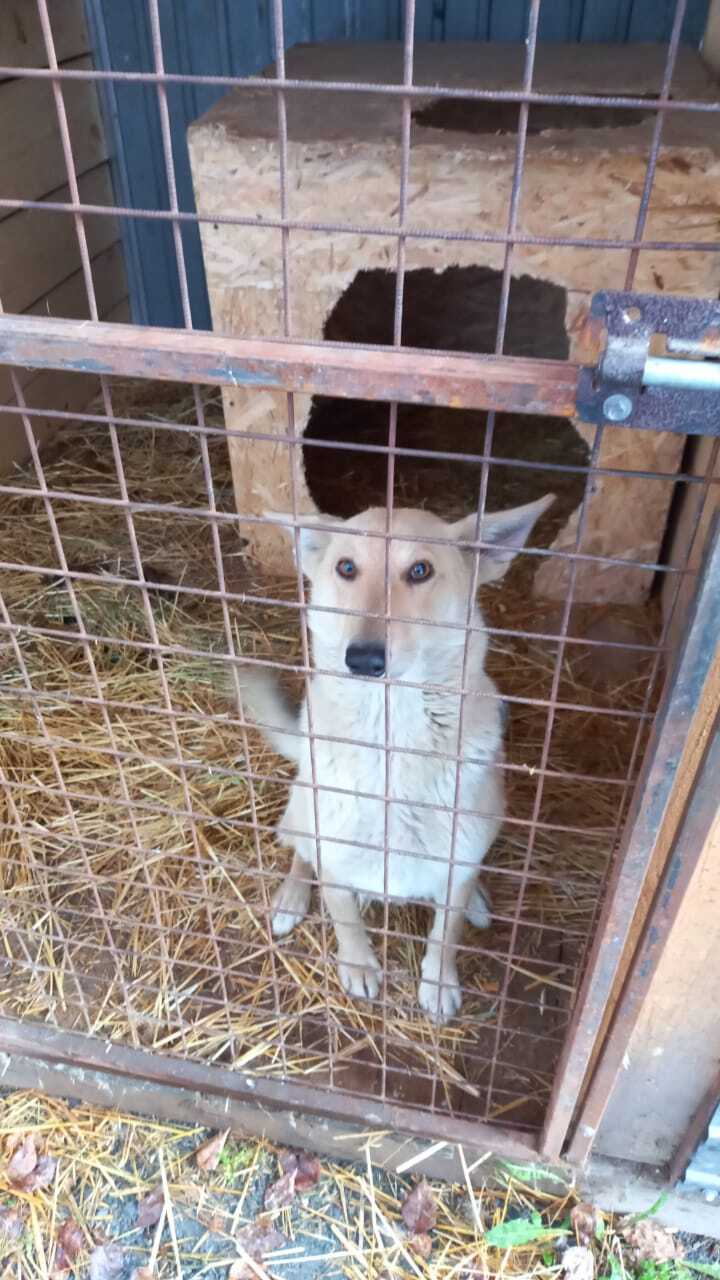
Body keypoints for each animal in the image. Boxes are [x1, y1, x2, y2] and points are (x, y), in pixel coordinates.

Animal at [233, 494, 550, 1024]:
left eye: (420, 570)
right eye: (346, 567)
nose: (362, 659)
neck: (392, 740)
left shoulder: (457, 861)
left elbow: (446, 932)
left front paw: (438, 982)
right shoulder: (334, 858)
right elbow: (345, 919)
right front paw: (359, 965)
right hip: (303, 810)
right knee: (298, 849)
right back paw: (291, 897)